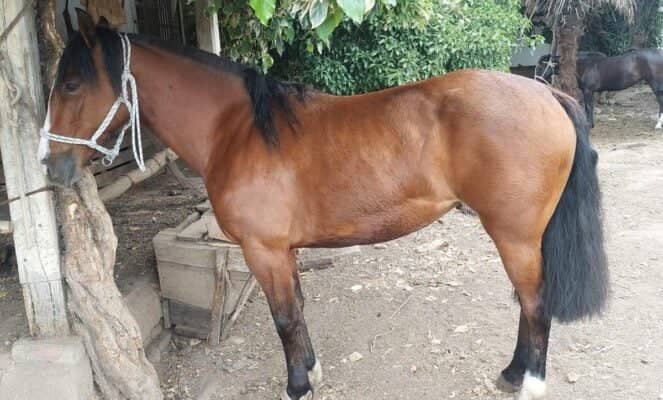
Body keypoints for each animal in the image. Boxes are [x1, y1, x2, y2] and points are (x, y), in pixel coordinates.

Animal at [39, 10, 608, 400]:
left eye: (71, 84)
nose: (51, 166)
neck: (238, 131)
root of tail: (547, 95)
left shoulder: (263, 251)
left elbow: (284, 320)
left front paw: (296, 386)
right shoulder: (283, 252)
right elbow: (298, 312)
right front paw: (310, 372)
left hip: (515, 236)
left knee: (535, 304)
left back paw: (526, 381)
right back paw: (513, 373)